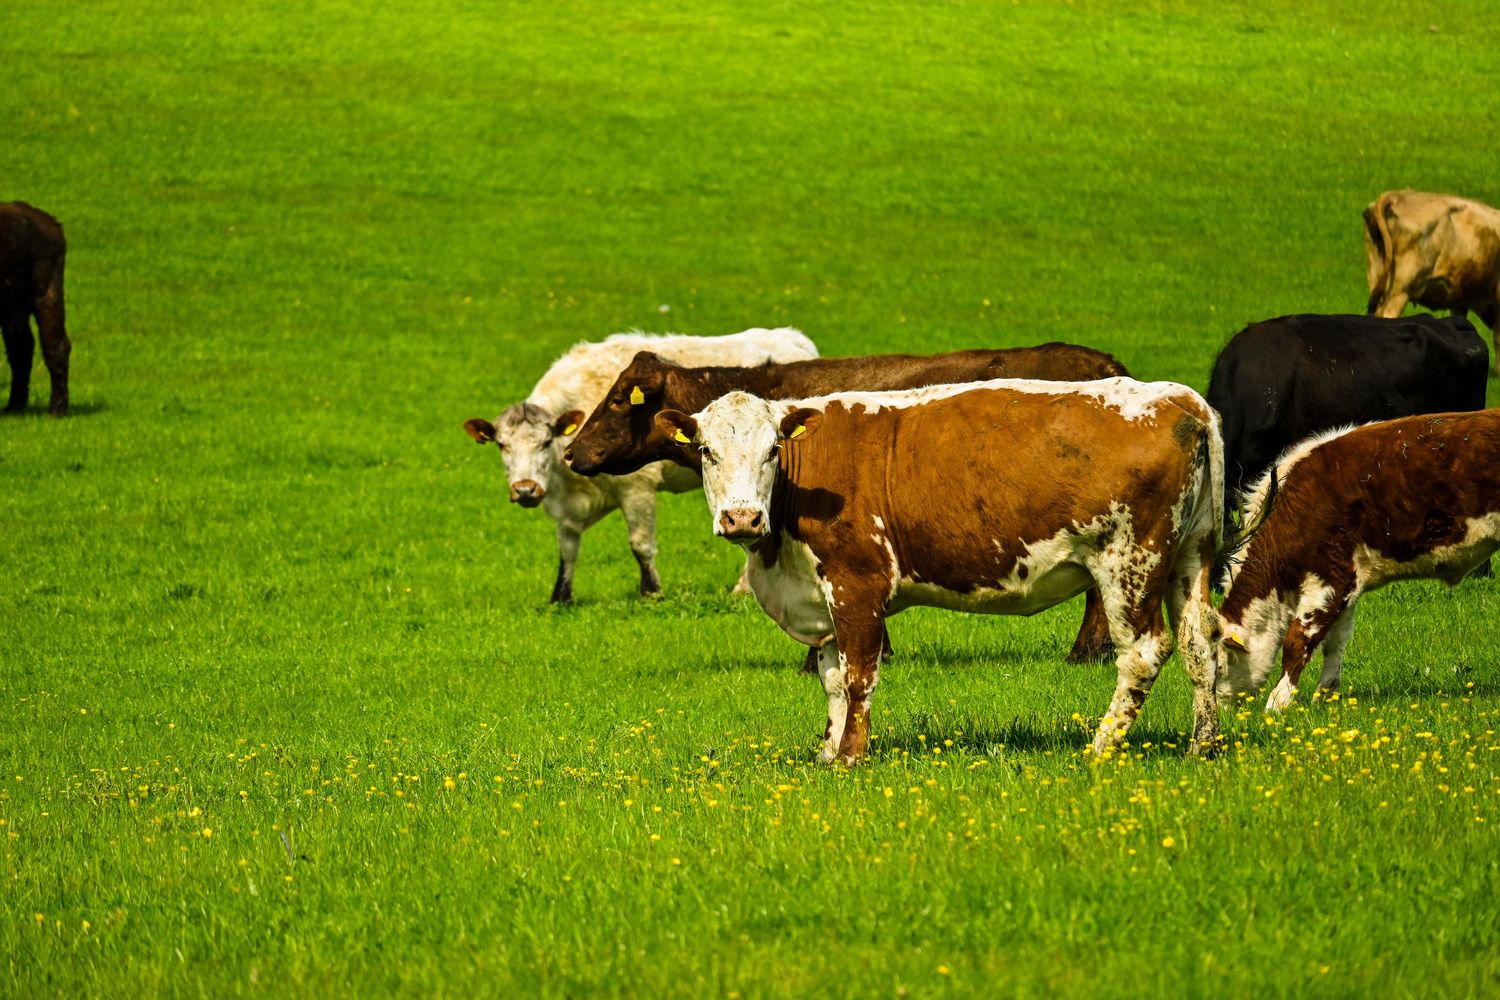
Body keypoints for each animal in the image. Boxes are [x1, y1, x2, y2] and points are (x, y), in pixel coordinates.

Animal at [0, 202, 70, 416]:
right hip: (12, 307)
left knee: (56, 344)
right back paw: (14, 406)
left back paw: (57, 409)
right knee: (21, 348)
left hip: (46, 294)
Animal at [462, 327, 817, 603]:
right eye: (502, 446)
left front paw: (652, 592)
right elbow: (567, 547)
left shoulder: (637, 488)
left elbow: (640, 544)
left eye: (545, 442)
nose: (525, 490)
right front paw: (560, 596)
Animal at [655, 378, 1225, 764]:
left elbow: (858, 676)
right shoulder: (822, 597)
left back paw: (1100, 746)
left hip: (1130, 561)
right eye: (705, 450)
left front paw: (850, 756)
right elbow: (832, 680)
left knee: (1144, 652)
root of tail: (1179, 397)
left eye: (773, 449)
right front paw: (827, 752)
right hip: (1190, 553)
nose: (742, 517)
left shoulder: (856, 583)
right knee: (1200, 643)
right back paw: (1203, 746)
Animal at [1217, 411, 1500, 713]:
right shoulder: (1348, 586)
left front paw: (1278, 703)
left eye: (1219, 668)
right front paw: (1326, 695)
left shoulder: (1331, 577)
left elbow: (1298, 640)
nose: (1219, 711)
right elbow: (1336, 642)